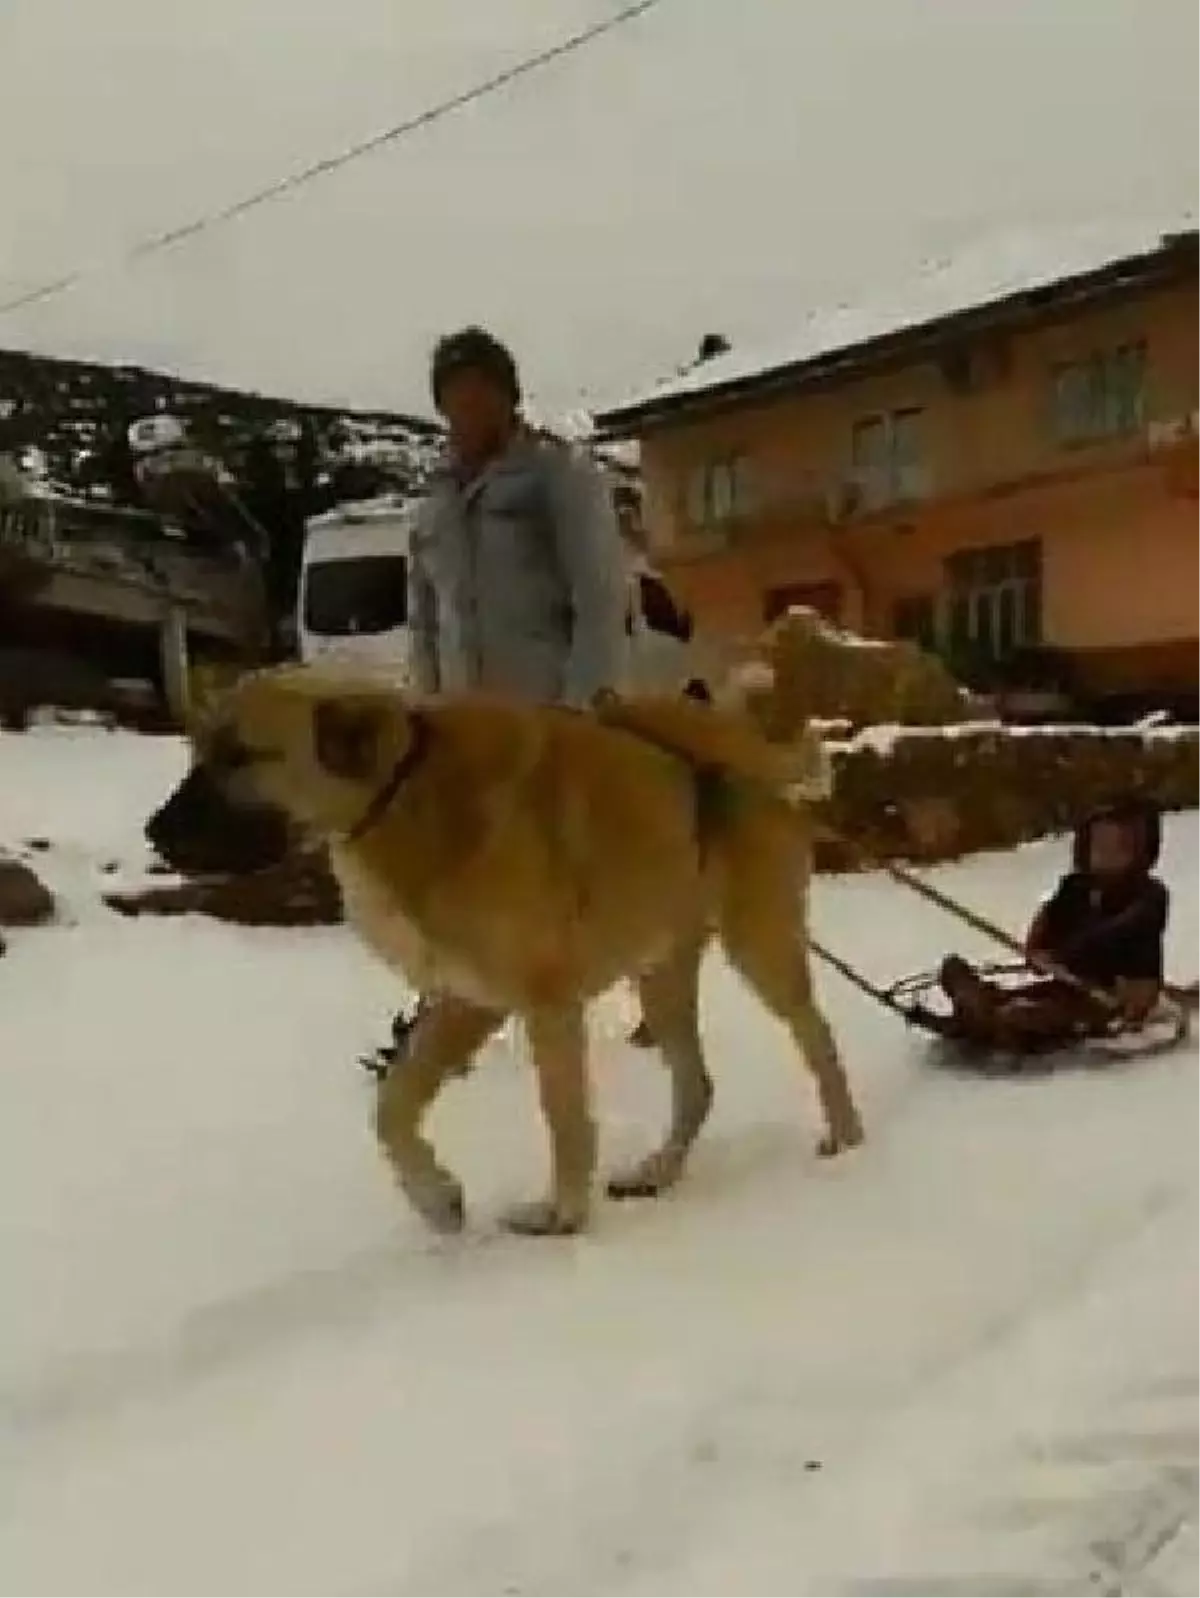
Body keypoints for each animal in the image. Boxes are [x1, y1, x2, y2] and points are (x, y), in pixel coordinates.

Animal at [162, 667, 862, 1240]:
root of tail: (730, 742)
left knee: (819, 1039)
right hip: (660, 972)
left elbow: (563, 1116)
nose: (153, 832)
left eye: (239, 756)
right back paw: (659, 1170)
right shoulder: (463, 1000)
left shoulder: (543, 1004)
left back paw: (848, 1142)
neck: (405, 795)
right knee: (697, 1085)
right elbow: (391, 1106)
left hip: (759, 943)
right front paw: (436, 1197)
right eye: (199, 752)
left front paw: (563, 1216)